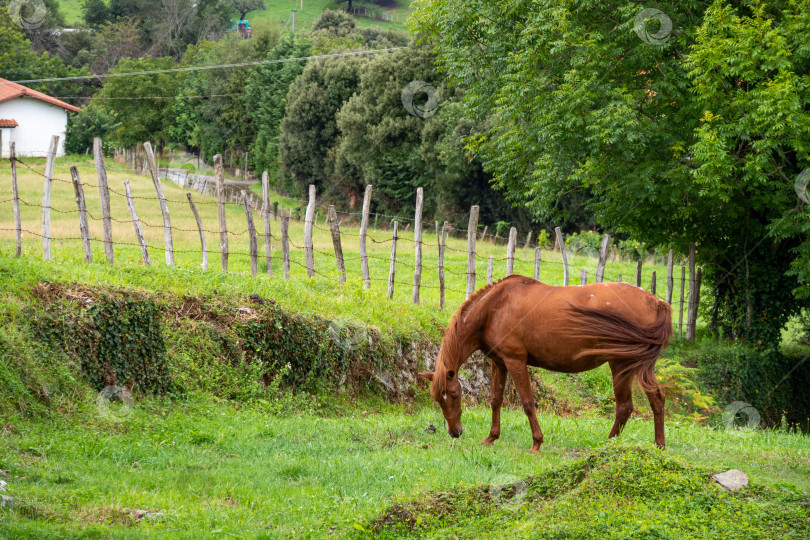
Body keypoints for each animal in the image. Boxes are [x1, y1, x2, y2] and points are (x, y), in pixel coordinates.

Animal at [416, 272, 668, 454]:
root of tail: (655, 302)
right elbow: (496, 400)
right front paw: (491, 437)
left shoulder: (515, 361)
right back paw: (659, 445)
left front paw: (536, 442)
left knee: (624, 407)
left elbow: (528, 402)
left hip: (620, 365)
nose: (455, 432)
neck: (494, 307)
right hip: (639, 368)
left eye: (455, 395)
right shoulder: (499, 363)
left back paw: (608, 444)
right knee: (656, 399)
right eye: (438, 399)